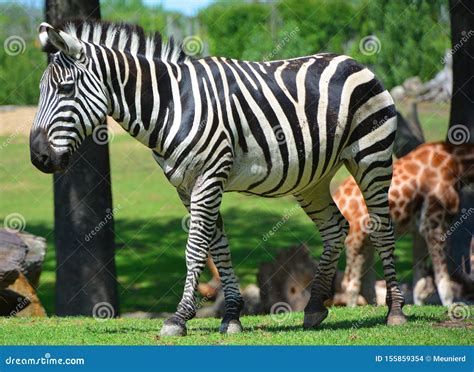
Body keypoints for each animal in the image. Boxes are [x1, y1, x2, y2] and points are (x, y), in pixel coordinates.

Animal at [30, 21, 408, 338]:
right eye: (40, 90)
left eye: (66, 88)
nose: (38, 157)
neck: (172, 106)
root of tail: (353, 60)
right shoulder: (187, 186)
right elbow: (218, 247)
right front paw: (232, 315)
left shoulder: (209, 176)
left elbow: (196, 248)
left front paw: (179, 318)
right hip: (311, 178)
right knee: (335, 227)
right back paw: (315, 307)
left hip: (371, 156)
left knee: (381, 228)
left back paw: (396, 312)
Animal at [198, 141, 472, 306]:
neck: (456, 162)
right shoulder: (433, 223)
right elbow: (440, 277)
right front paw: (450, 306)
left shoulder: (419, 229)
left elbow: (419, 278)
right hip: (358, 238)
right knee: (352, 283)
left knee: (362, 282)